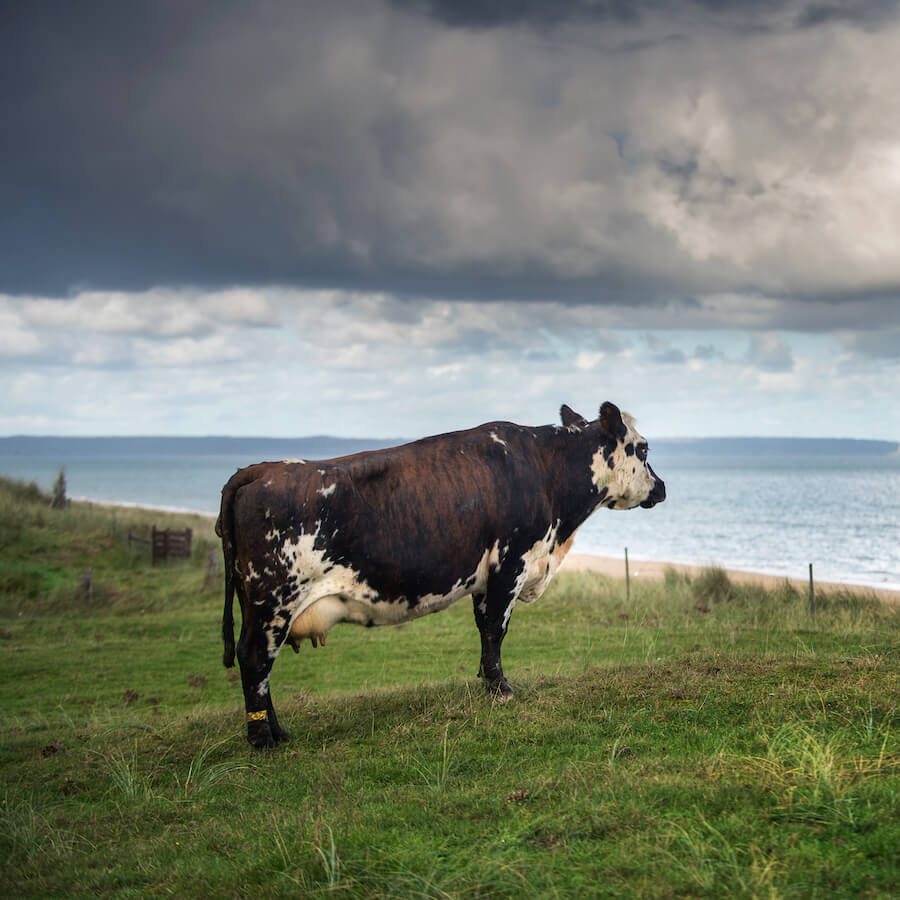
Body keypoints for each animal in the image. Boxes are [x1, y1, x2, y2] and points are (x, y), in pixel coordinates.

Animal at [214, 400, 664, 744]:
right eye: (642, 450)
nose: (661, 488)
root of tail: (260, 470)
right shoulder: (511, 563)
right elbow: (496, 630)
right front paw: (502, 691)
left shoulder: (486, 576)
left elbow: (484, 630)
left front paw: (487, 685)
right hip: (273, 601)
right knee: (254, 659)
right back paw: (264, 739)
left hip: (259, 605)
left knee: (258, 665)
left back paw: (277, 732)